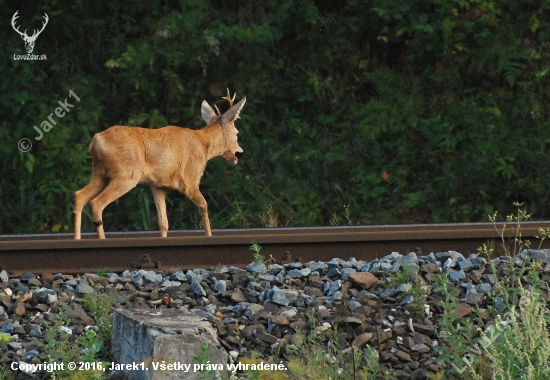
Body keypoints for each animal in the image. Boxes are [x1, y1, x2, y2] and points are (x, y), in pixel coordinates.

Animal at [73, 89, 246, 239]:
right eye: (236, 133)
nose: (240, 153)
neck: (203, 143)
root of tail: (96, 140)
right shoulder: (191, 179)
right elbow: (204, 205)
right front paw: (209, 236)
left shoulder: (158, 186)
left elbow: (163, 222)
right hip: (126, 175)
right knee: (96, 203)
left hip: (100, 173)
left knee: (79, 195)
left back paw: (77, 238)